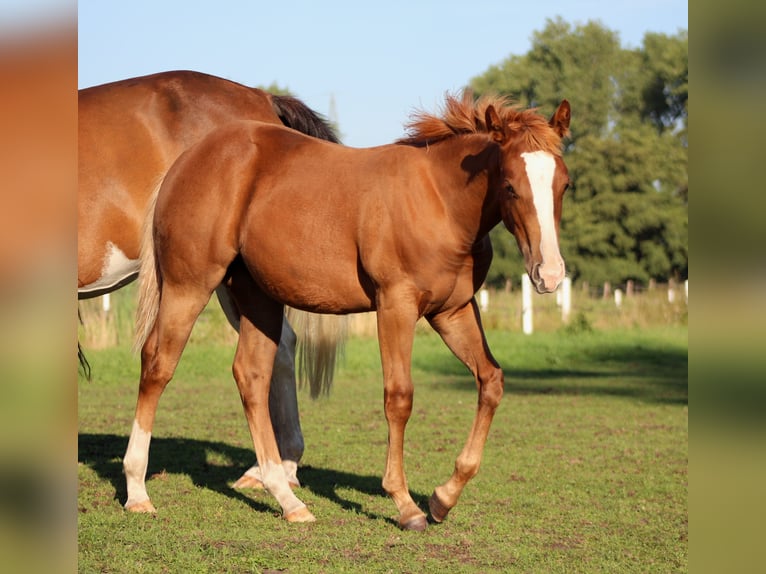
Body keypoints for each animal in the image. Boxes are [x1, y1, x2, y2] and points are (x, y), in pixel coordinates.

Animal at [132, 90, 571, 530]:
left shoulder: (453, 311)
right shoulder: (395, 305)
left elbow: (490, 381)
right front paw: (406, 504)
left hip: (257, 298)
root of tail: (185, 162)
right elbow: (399, 396)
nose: (548, 275)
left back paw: (287, 499)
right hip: (189, 286)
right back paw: (137, 491)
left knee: (252, 376)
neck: (440, 202)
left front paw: (443, 498)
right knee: (158, 363)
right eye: (510, 185)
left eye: (564, 184)